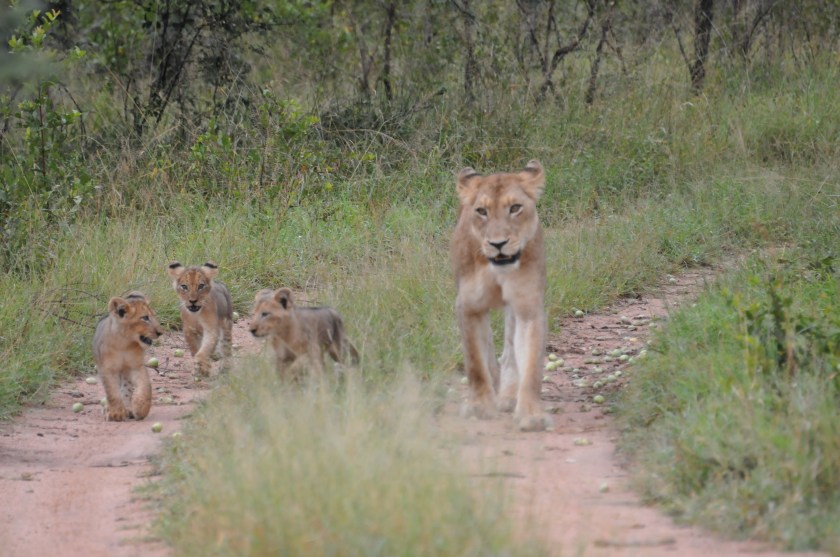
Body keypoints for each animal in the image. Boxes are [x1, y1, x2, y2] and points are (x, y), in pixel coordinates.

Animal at [93, 292, 164, 421]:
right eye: (145, 318)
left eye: (154, 316)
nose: (160, 332)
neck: (124, 343)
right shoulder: (107, 369)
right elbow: (112, 392)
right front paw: (115, 413)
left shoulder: (136, 366)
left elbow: (146, 387)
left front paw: (140, 408)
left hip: (125, 372)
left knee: (126, 390)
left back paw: (128, 408)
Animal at [451, 159, 553, 432]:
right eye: (481, 211)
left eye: (515, 208)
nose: (498, 244)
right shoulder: (468, 306)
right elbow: (476, 362)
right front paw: (480, 407)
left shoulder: (528, 306)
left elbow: (531, 365)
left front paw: (531, 415)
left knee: (509, 352)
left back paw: (508, 396)